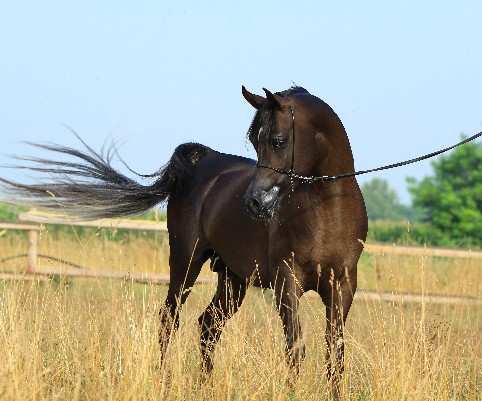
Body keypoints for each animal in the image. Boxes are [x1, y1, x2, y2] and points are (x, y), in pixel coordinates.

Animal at [0, 85, 370, 396]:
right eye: (255, 140)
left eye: (279, 140)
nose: (255, 202)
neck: (326, 209)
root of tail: (200, 162)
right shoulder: (286, 281)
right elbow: (295, 347)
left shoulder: (342, 286)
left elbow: (334, 353)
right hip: (185, 262)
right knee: (170, 319)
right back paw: (164, 382)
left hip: (233, 279)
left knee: (207, 326)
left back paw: (205, 386)